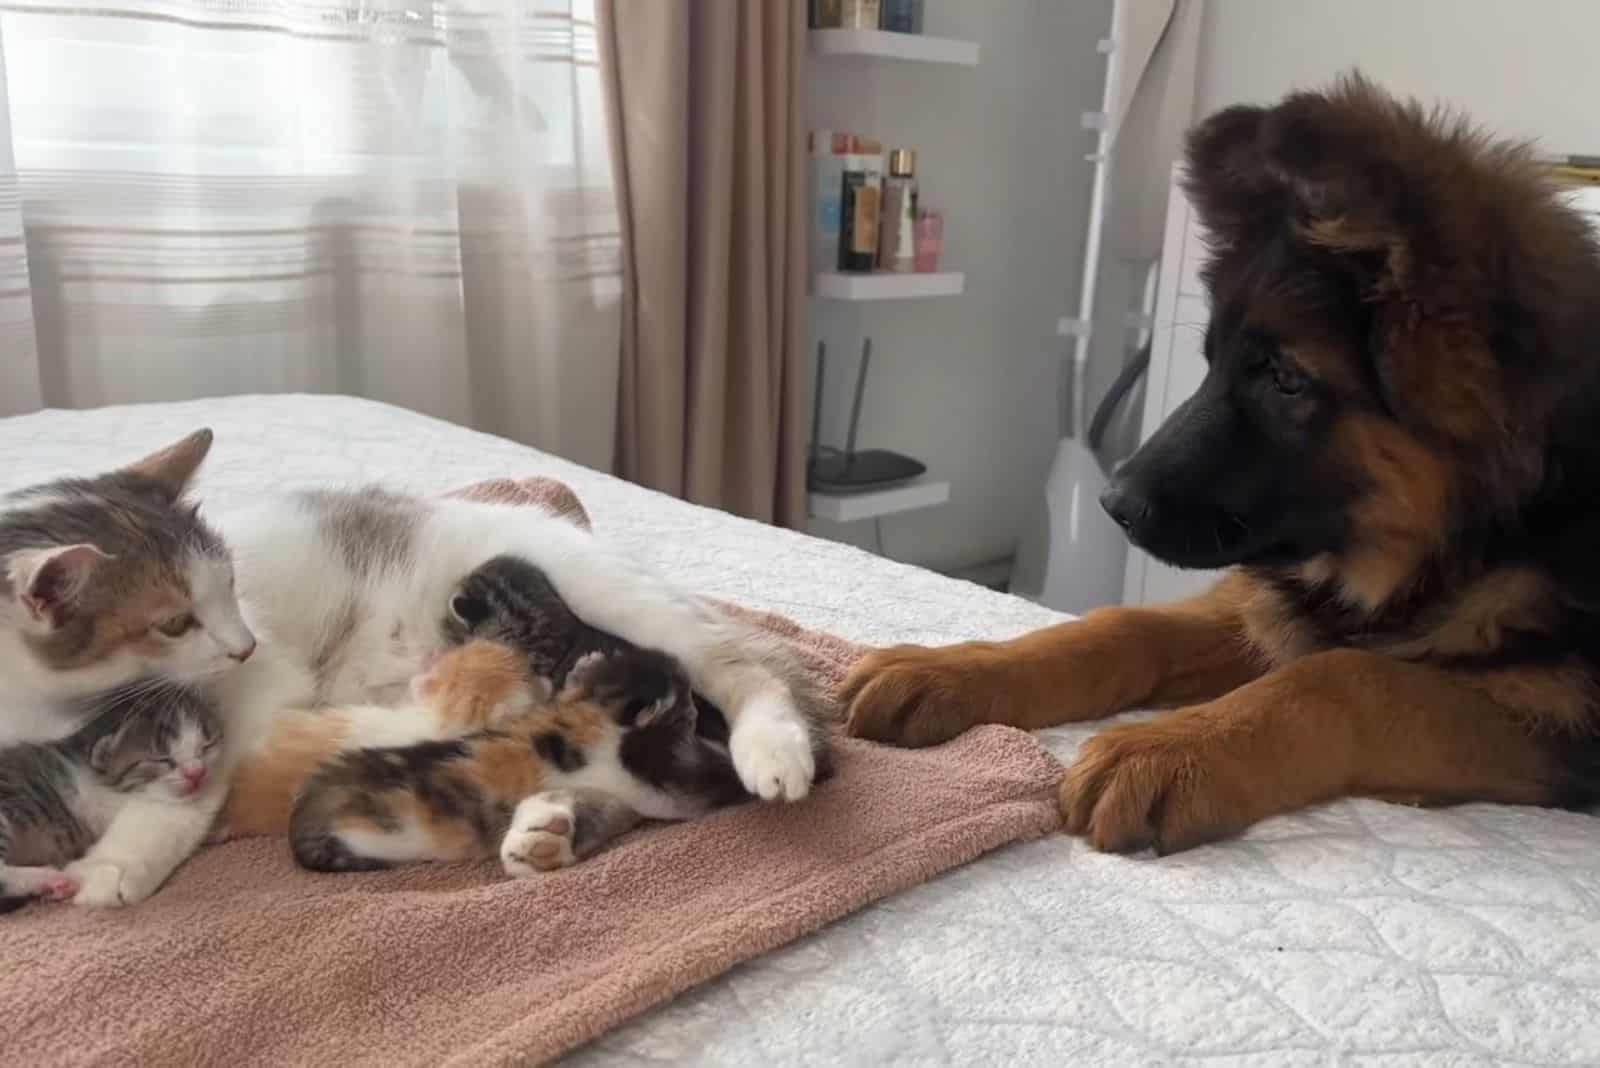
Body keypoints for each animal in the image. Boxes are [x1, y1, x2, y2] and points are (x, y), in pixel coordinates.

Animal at [838, 75, 1600, 856]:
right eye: (1211, 362)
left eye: (1286, 380)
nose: (1113, 503)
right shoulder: (1262, 609)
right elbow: (1125, 625)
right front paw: (957, 666)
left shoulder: (1566, 718)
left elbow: (1350, 674)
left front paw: (1167, 748)